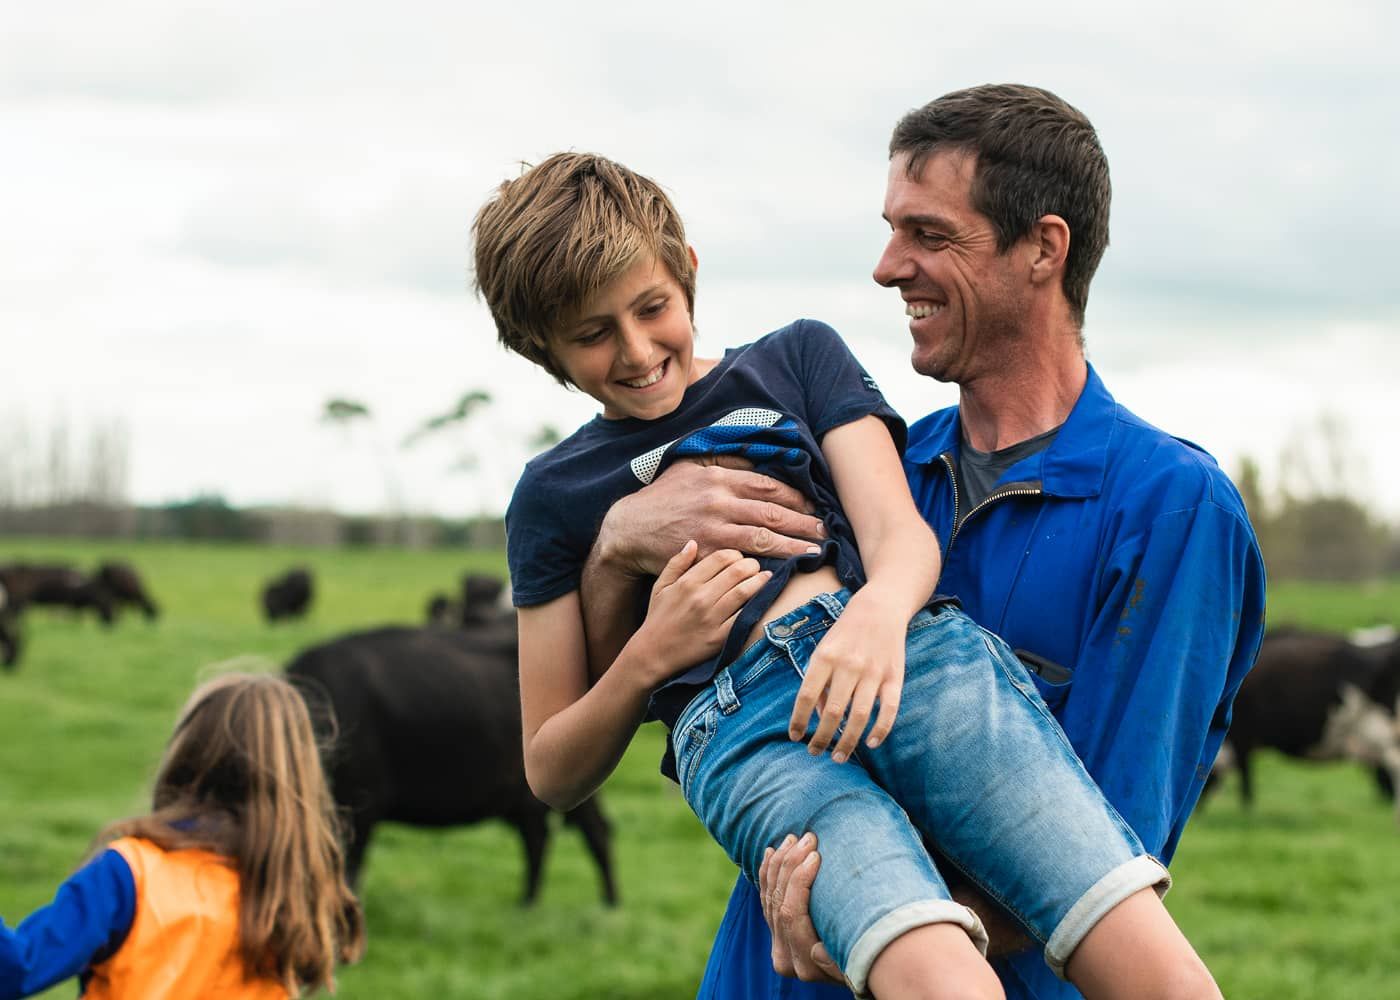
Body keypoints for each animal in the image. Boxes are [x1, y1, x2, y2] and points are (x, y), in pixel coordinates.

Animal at [1204, 627, 1400, 823]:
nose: (1198, 812)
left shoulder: (1242, 737)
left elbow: (1245, 775)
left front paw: (1247, 812)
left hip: (1385, 728)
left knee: (1393, 762)